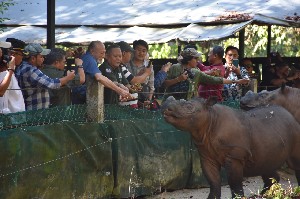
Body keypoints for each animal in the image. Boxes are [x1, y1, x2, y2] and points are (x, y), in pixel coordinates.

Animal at [162, 95, 300, 198]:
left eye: (189, 107)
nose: (166, 108)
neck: (210, 118)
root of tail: (291, 115)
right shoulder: (206, 154)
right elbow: (213, 182)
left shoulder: (235, 156)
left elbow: (234, 184)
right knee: (266, 165)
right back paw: (262, 195)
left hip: (295, 129)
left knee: (294, 163)